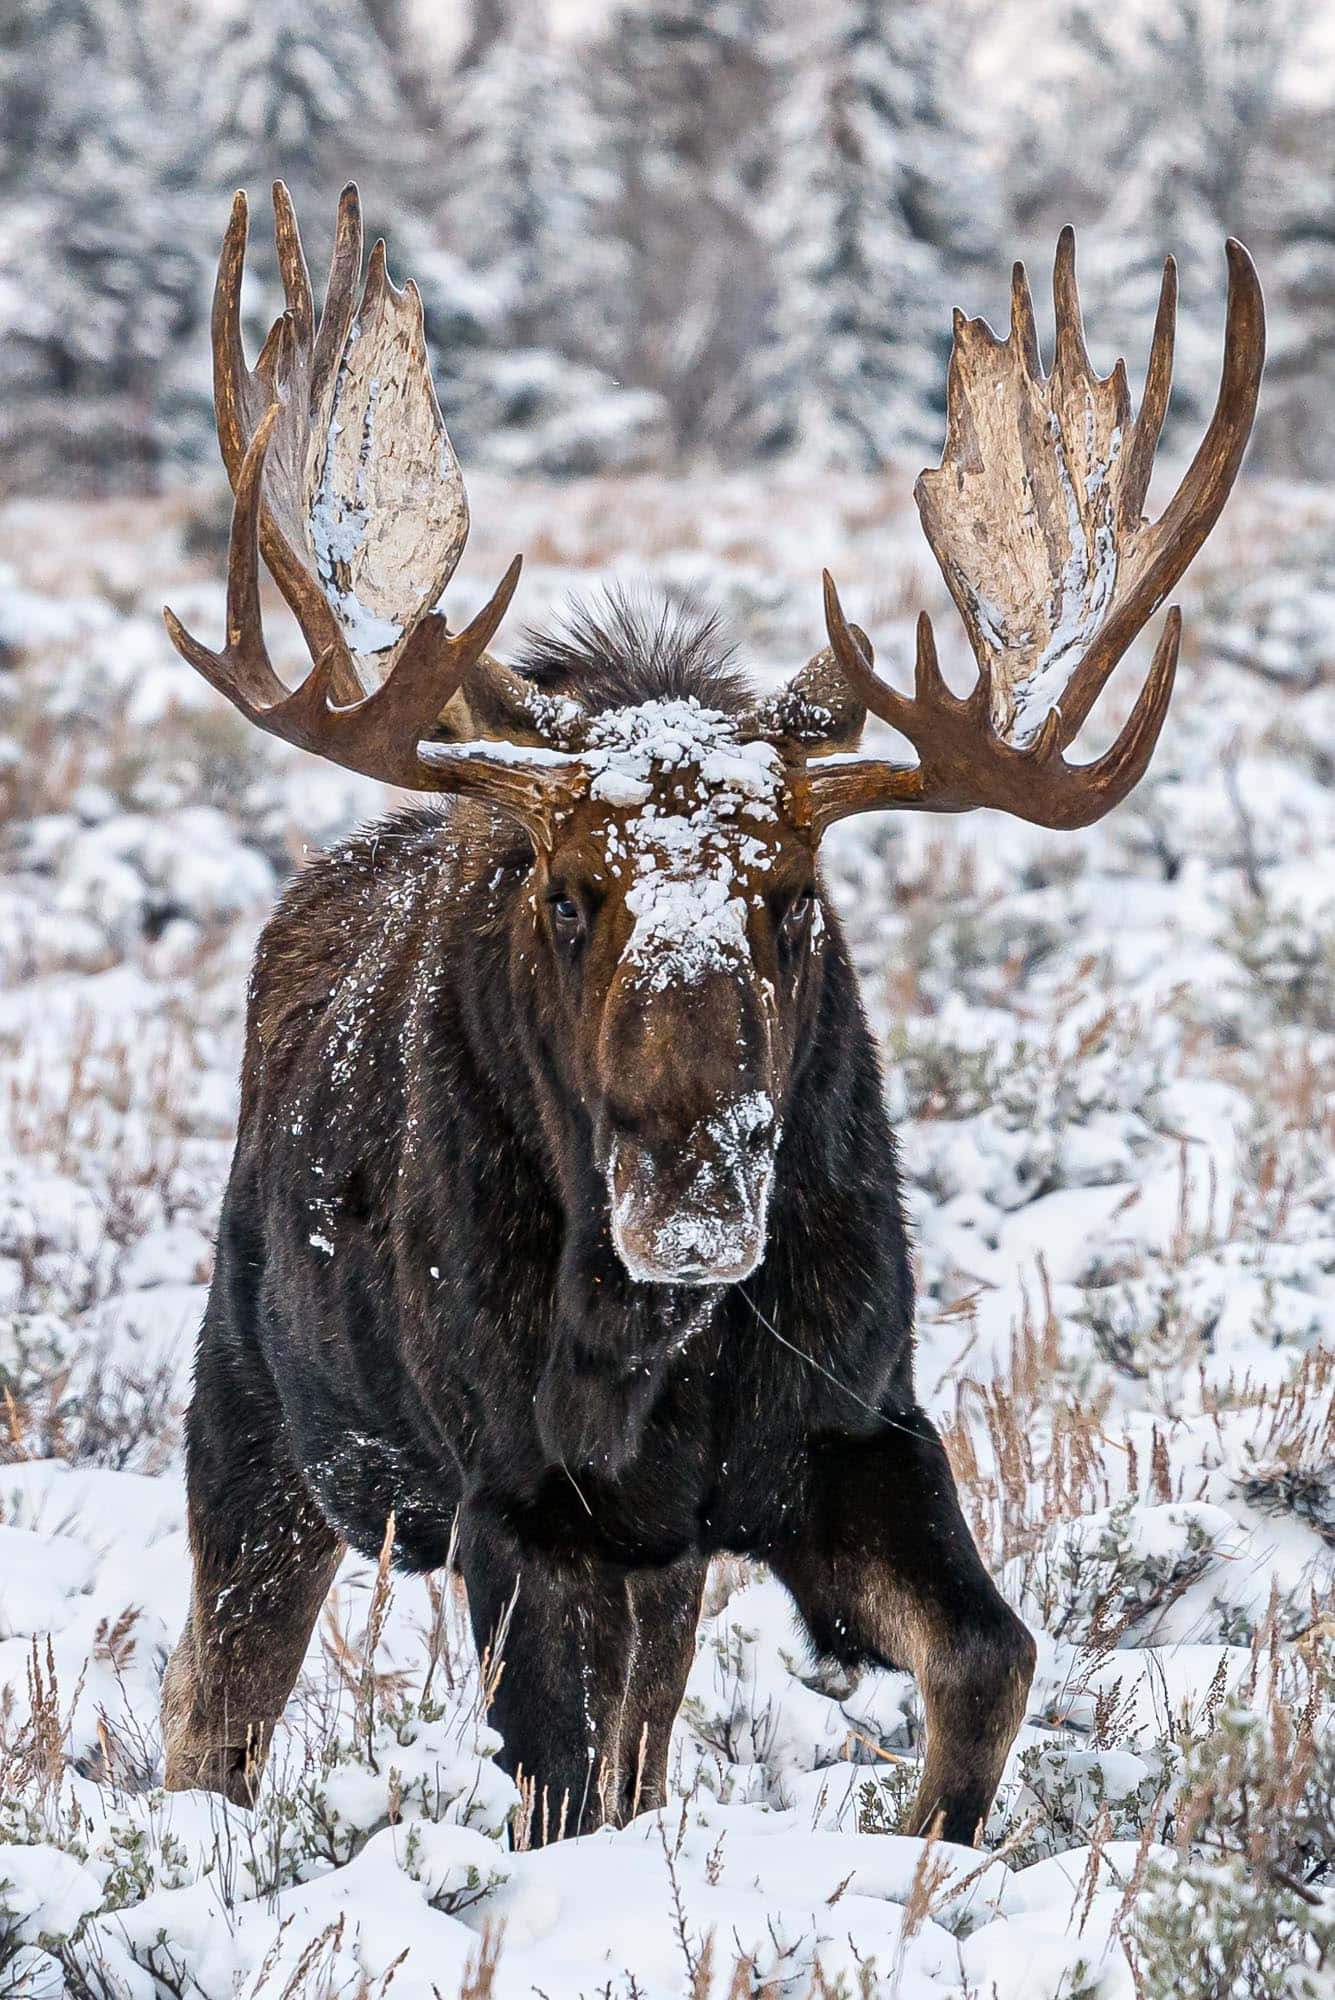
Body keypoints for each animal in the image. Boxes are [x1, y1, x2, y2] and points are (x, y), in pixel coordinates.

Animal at [159, 183, 1263, 1845]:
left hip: (649, 1557)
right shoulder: (516, 1497)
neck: (657, 1364)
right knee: (209, 1705)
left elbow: (988, 1657)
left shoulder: (848, 1427)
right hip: (254, 1426)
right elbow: (555, 1783)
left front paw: (932, 1853)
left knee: (643, 1712)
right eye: (567, 893)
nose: (690, 1197)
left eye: (792, 894)